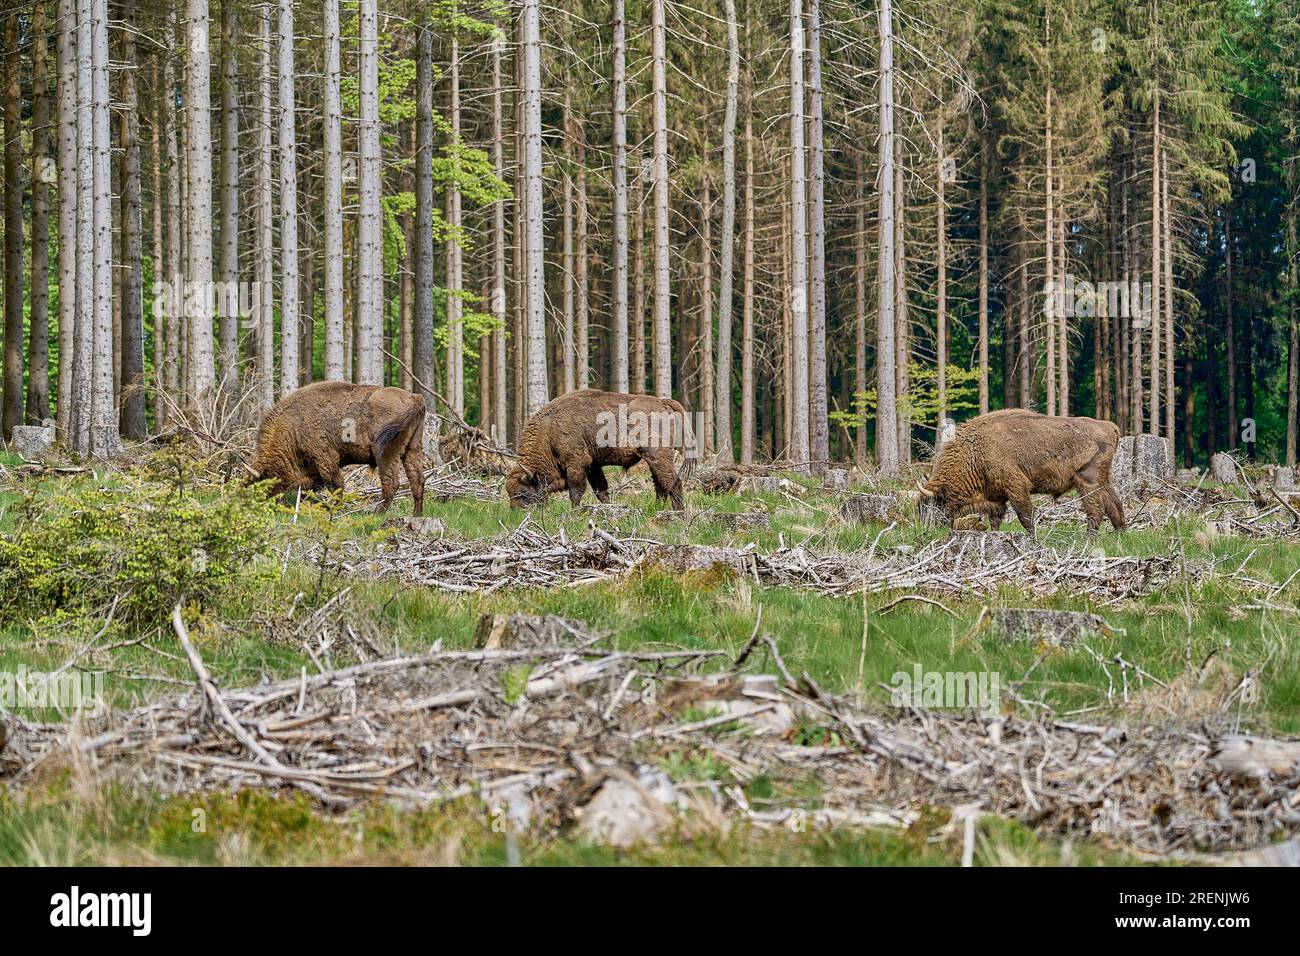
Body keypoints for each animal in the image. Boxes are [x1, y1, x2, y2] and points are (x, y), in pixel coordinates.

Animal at [245, 382, 423, 515]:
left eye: (262, 485)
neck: (293, 425)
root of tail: (415, 398)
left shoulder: (325, 459)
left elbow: (336, 485)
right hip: (412, 449)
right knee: (417, 480)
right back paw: (417, 516)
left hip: (386, 454)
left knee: (391, 484)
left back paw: (376, 515)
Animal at [501, 390, 696, 509]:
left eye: (522, 493)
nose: (515, 512)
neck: (549, 429)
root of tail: (662, 403)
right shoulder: (593, 466)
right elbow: (601, 490)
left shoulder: (576, 463)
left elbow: (576, 491)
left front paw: (575, 511)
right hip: (653, 459)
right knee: (661, 485)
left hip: (657, 455)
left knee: (673, 483)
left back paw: (678, 514)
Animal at [915, 408, 1128, 535]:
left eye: (933, 506)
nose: (925, 532)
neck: (975, 450)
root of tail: (1109, 426)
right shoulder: (997, 497)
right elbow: (996, 519)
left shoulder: (1016, 487)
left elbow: (1025, 516)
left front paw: (1033, 539)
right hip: (1103, 480)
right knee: (1114, 505)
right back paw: (1120, 534)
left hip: (1088, 481)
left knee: (1096, 510)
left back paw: (1089, 538)